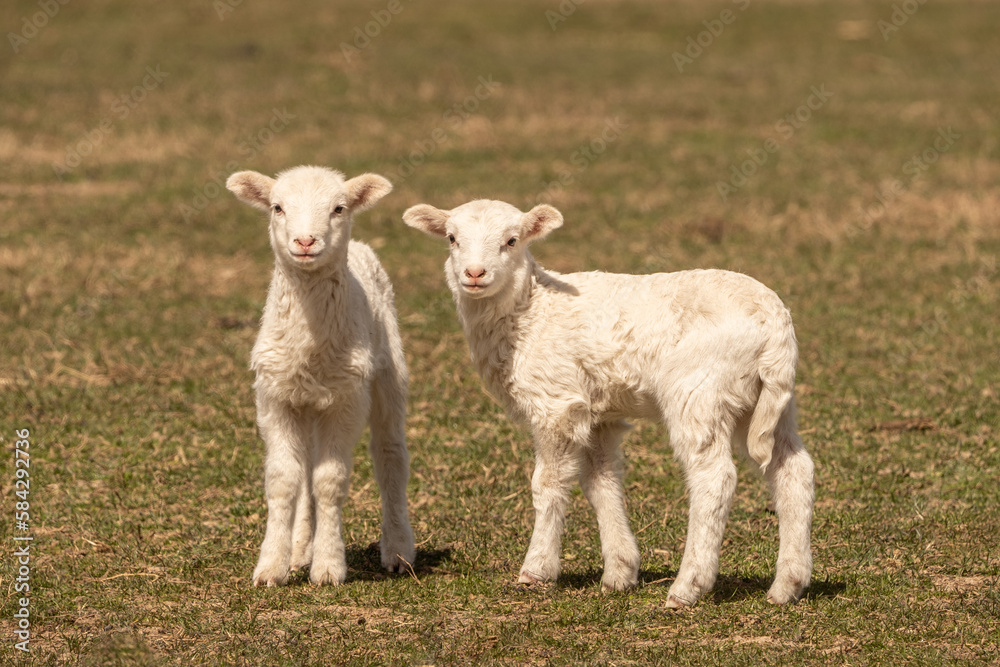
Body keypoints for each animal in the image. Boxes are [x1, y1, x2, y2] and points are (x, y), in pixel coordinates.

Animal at [227, 164, 414, 588]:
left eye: (339, 208)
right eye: (277, 207)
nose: (305, 240)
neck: (309, 349)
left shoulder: (346, 399)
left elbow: (329, 481)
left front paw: (328, 567)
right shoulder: (276, 397)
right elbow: (284, 480)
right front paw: (272, 567)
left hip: (386, 373)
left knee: (390, 457)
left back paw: (398, 551)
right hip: (309, 404)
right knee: (306, 470)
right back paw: (299, 550)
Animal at [402, 198, 816, 604]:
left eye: (512, 240)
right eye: (452, 238)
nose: (474, 273)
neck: (529, 312)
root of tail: (776, 326)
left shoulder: (556, 403)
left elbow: (548, 483)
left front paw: (536, 571)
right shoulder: (598, 412)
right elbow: (601, 482)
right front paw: (620, 572)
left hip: (700, 390)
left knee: (714, 478)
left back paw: (687, 588)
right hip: (763, 402)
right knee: (793, 469)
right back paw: (787, 585)